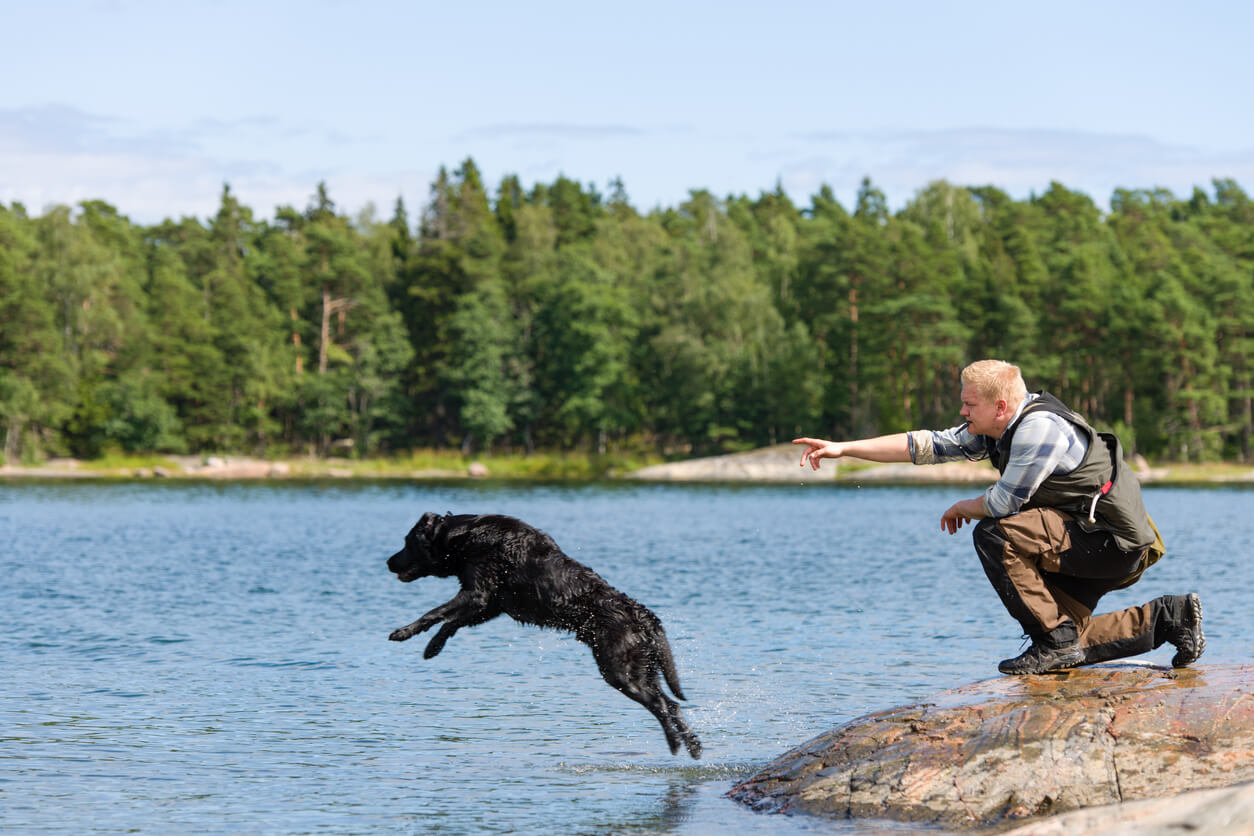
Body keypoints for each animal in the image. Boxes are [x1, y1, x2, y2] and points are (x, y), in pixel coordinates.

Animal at [386, 511, 702, 757]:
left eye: (406, 542)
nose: (388, 562)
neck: (464, 535)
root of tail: (642, 614)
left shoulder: (477, 594)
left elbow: (434, 614)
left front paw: (403, 632)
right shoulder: (490, 605)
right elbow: (449, 623)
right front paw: (432, 647)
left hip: (620, 672)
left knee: (662, 705)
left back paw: (676, 744)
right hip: (642, 669)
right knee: (671, 704)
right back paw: (694, 746)